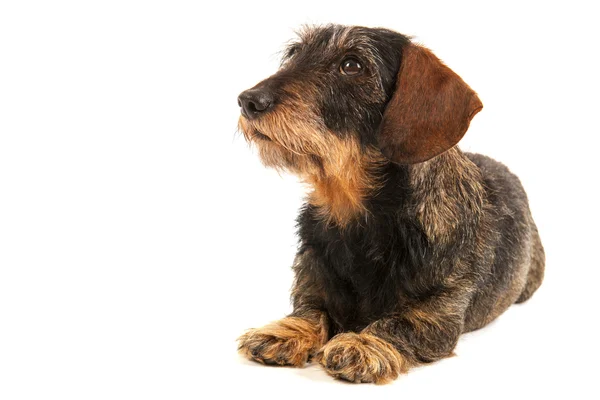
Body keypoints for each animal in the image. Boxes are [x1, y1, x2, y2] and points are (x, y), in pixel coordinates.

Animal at [237, 25, 548, 384]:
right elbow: (311, 310)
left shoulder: (438, 311)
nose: (248, 100)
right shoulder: (312, 284)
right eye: (295, 53)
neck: (357, 220)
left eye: (352, 65)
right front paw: (286, 331)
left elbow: (400, 323)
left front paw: (363, 344)